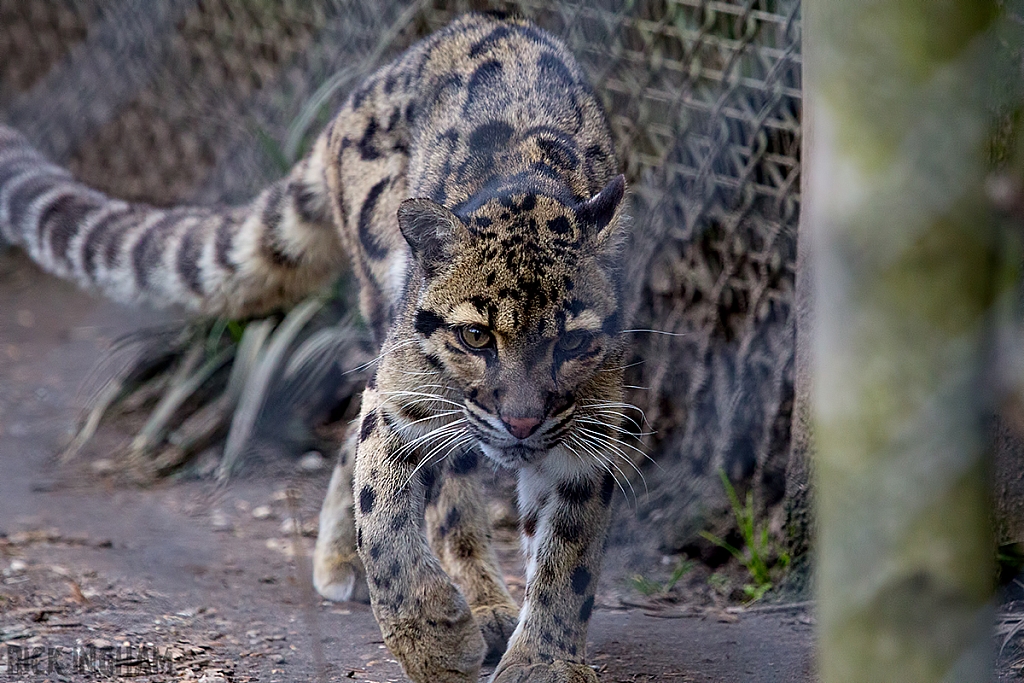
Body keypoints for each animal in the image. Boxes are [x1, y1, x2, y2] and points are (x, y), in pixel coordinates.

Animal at [0, 12, 626, 683]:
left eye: (572, 340)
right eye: (475, 335)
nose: (522, 421)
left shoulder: (591, 433)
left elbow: (569, 557)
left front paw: (543, 662)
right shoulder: (402, 402)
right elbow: (385, 519)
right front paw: (434, 639)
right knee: (436, 489)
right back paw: (438, 594)